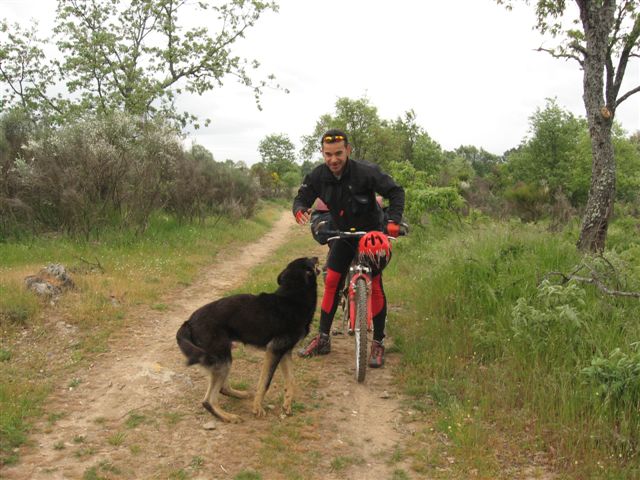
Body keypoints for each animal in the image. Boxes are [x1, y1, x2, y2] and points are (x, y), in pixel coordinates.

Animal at [176, 256, 319, 422]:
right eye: (310, 260)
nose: (316, 256)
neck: (292, 296)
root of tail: (189, 322)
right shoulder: (274, 350)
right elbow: (265, 382)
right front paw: (257, 408)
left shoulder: (285, 352)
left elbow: (291, 380)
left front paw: (287, 405)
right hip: (222, 358)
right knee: (208, 401)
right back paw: (228, 416)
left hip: (223, 358)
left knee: (222, 388)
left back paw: (241, 395)